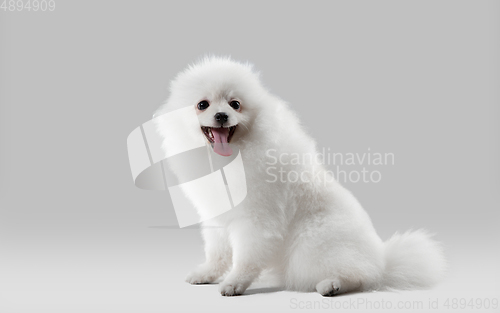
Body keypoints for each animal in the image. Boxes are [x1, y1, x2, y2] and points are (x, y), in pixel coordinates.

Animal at [154, 55, 448, 294]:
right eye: (202, 104)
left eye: (235, 104)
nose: (222, 115)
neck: (229, 159)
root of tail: (383, 261)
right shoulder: (216, 214)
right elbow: (217, 252)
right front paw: (207, 273)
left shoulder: (257, 219)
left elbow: (246, 257)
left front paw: (235, 283)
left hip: (313, 244)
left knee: (360, 276)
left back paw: (332, 284)